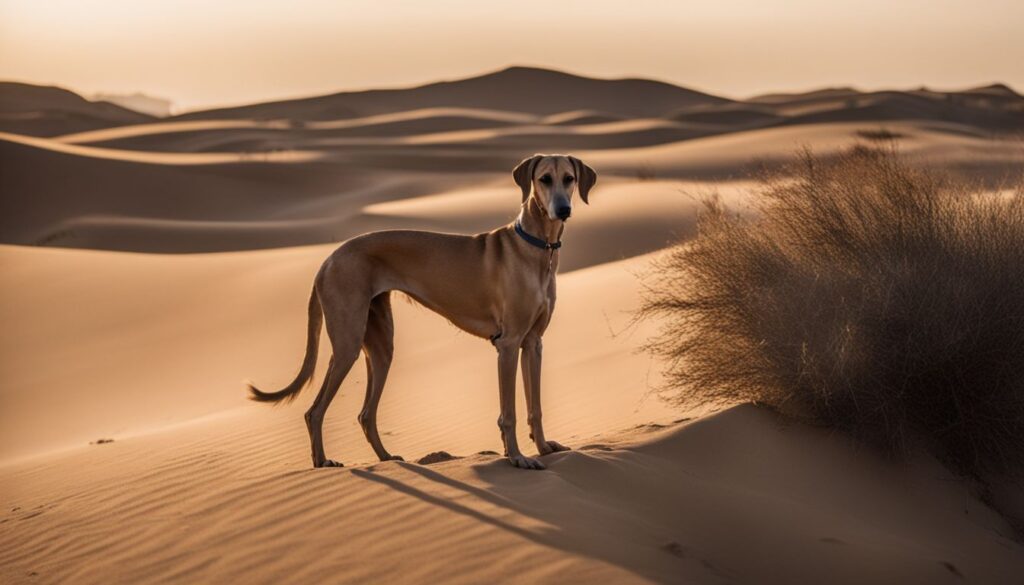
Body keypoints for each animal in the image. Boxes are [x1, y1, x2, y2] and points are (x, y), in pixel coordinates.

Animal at [248, 154, 598, 471]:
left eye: (569, 178)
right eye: (544, 179)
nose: (563, 209)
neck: (538, 247)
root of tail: (329, 258)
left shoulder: (533, 343)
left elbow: (535, 406)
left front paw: (543, 448)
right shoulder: (509, 344)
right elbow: (508, 412)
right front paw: (516, 458)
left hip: (381, 347)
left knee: (365, 413)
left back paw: (387, 458)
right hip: (347, 344)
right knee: (315, 410)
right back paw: (322, 462)